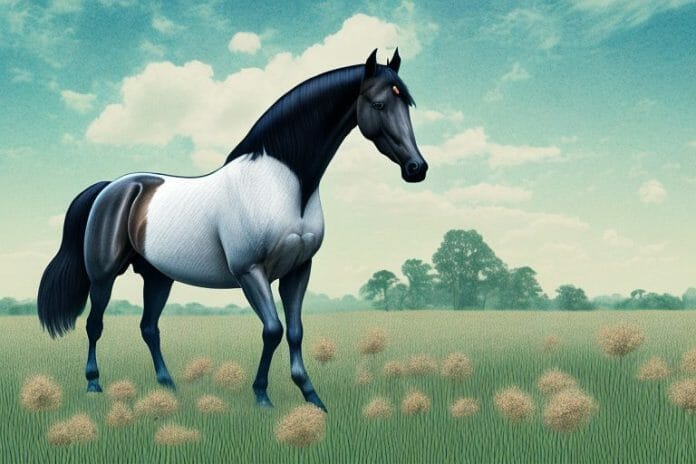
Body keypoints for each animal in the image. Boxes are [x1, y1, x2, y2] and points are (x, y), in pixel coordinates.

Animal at [37, 48, 428, 412]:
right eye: (378, 103)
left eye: (407, 104)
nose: (417, 168)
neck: (283, 185)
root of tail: (112, 188)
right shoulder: (250, 271)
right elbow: (273, 330)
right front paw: (262, 396)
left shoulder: (299, 270)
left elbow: (295, 331)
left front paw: (312, 396)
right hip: (103, 276)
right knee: (94, 324)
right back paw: (94, 383)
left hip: (158, 276)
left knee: (149, 328)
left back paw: (168, 385)